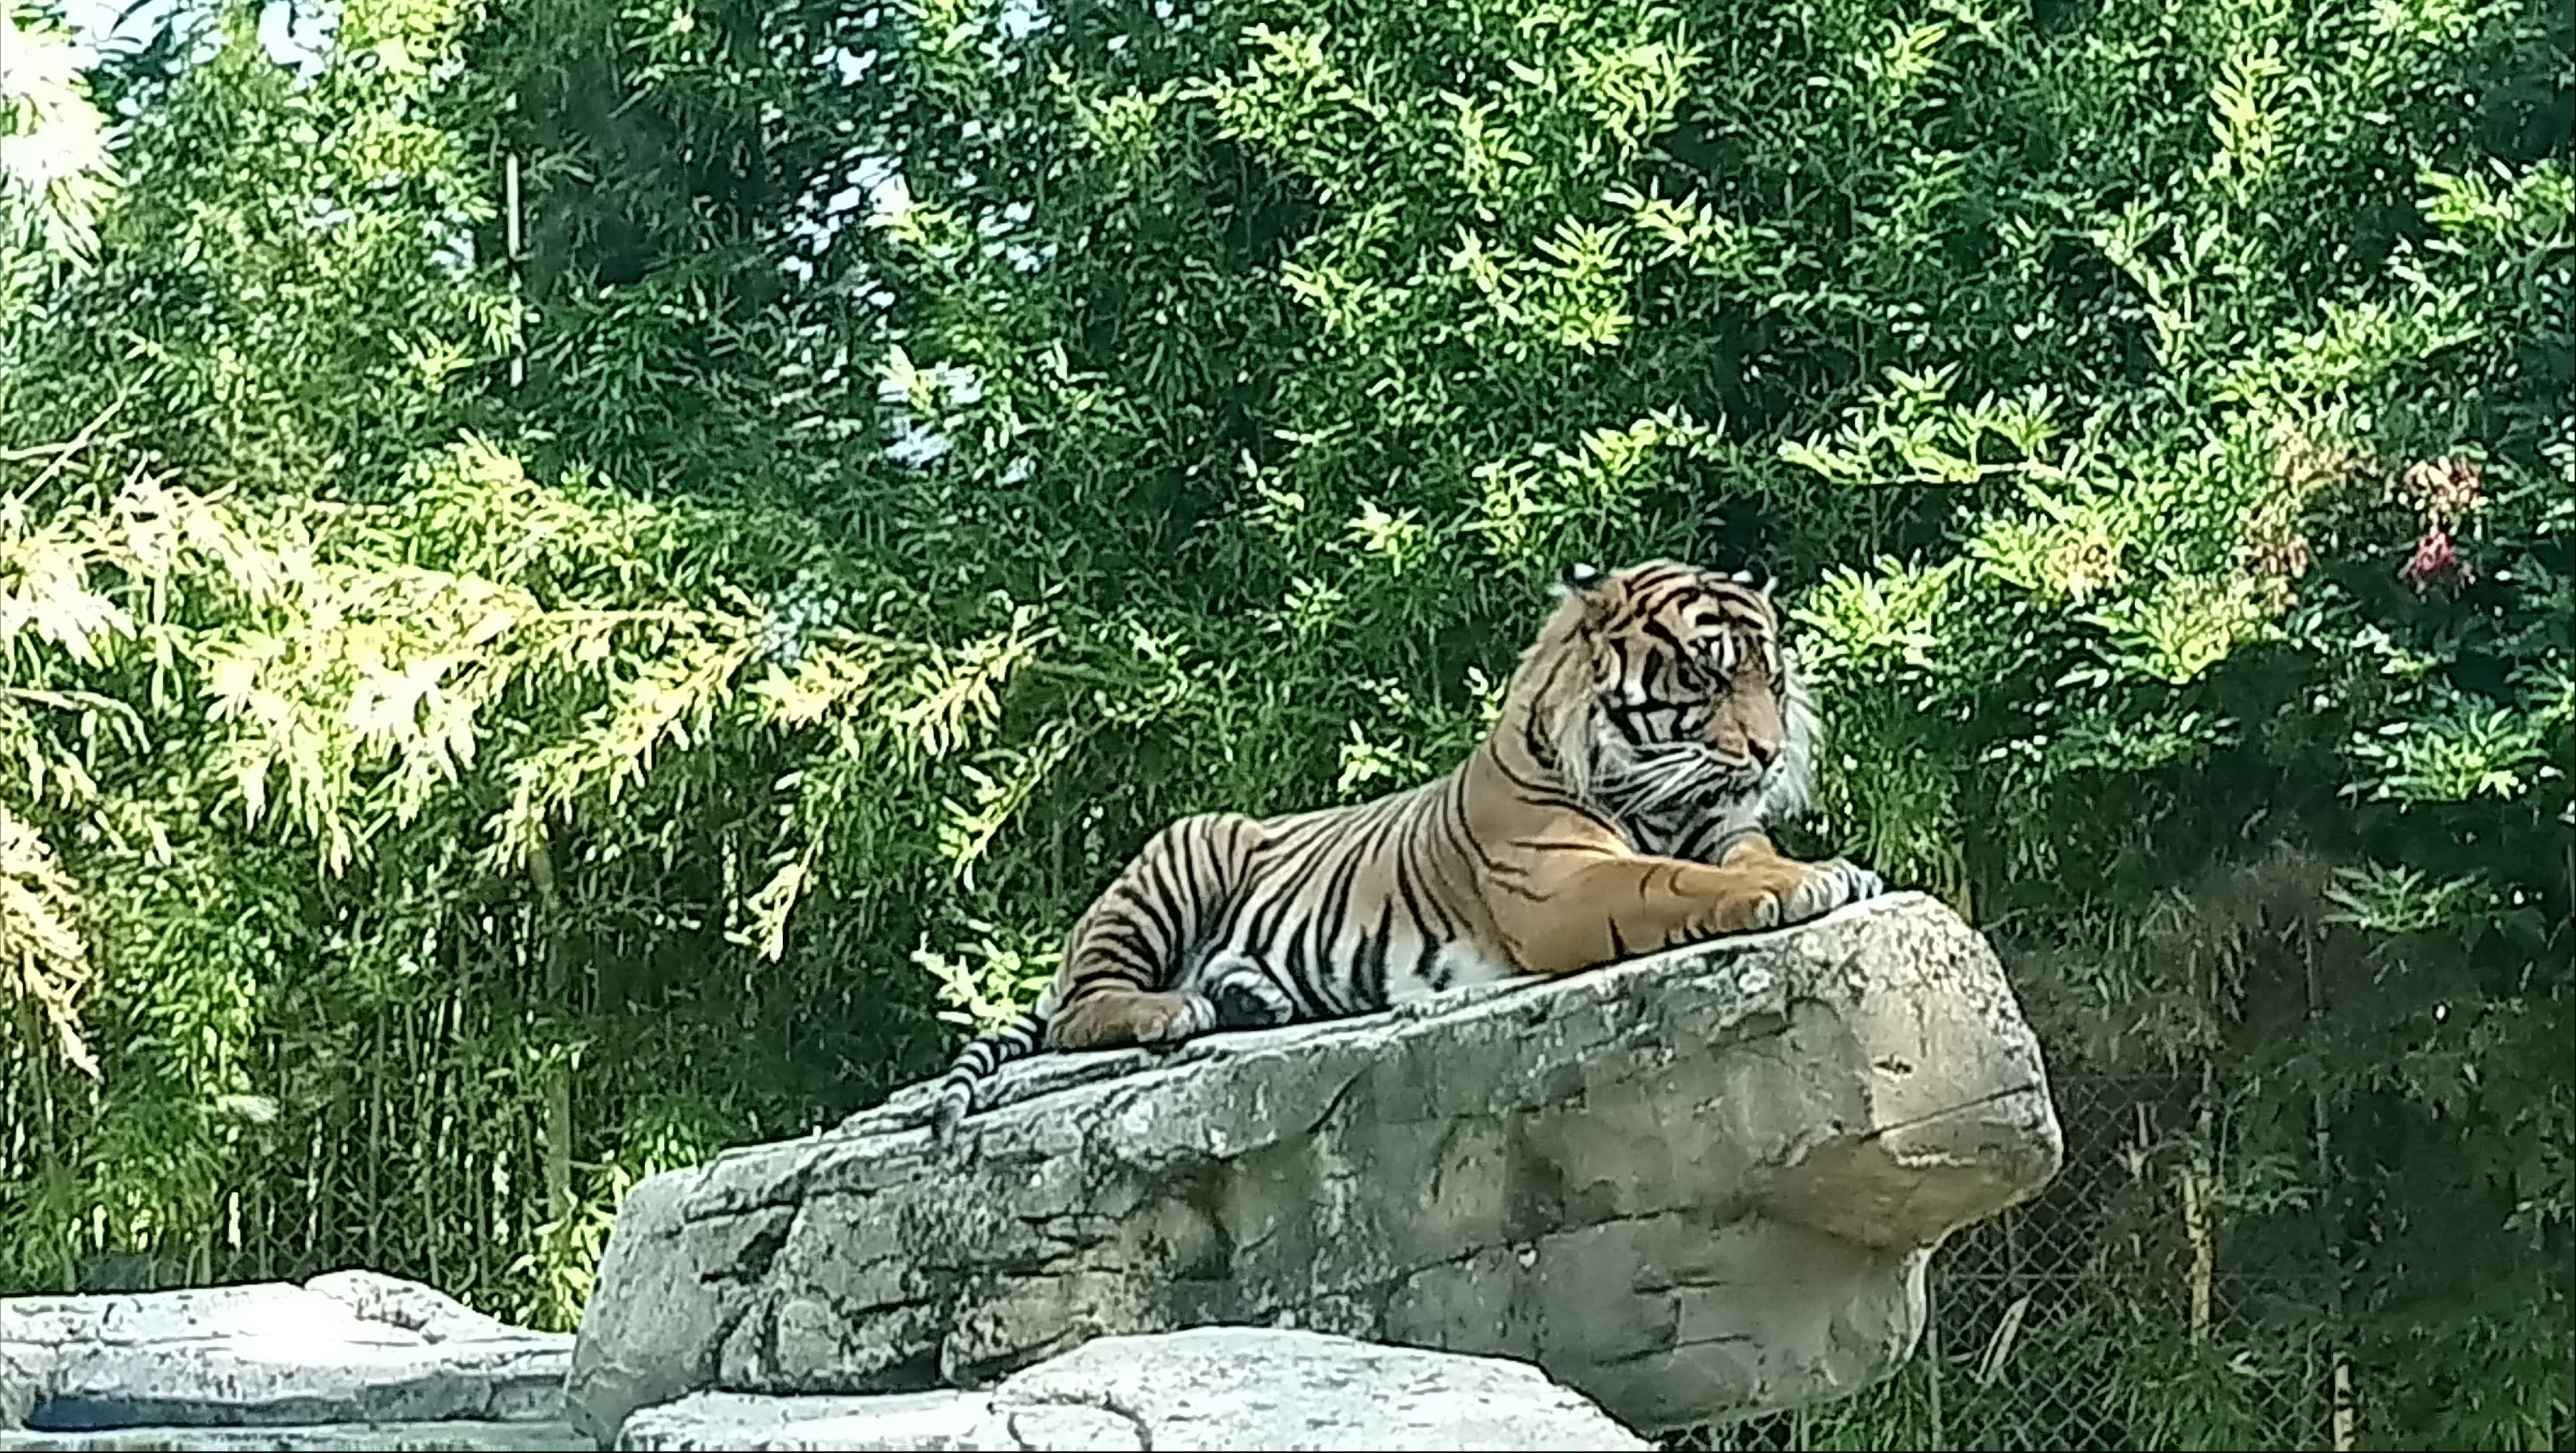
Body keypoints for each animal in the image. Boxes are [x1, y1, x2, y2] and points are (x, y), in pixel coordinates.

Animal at [924, 559, 1886, 1141]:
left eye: (1772, 678)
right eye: (1705, 674)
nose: (1768, 754)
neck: (1653, 789)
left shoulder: (1729, 830)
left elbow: (1749, 859)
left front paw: (1825, 871)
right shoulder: (1560, 882)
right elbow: (1668, 879)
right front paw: (1781, 894)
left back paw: (1250, 1001)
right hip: (1184, 853)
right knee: (1082, 1007)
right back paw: (1172, 1011)